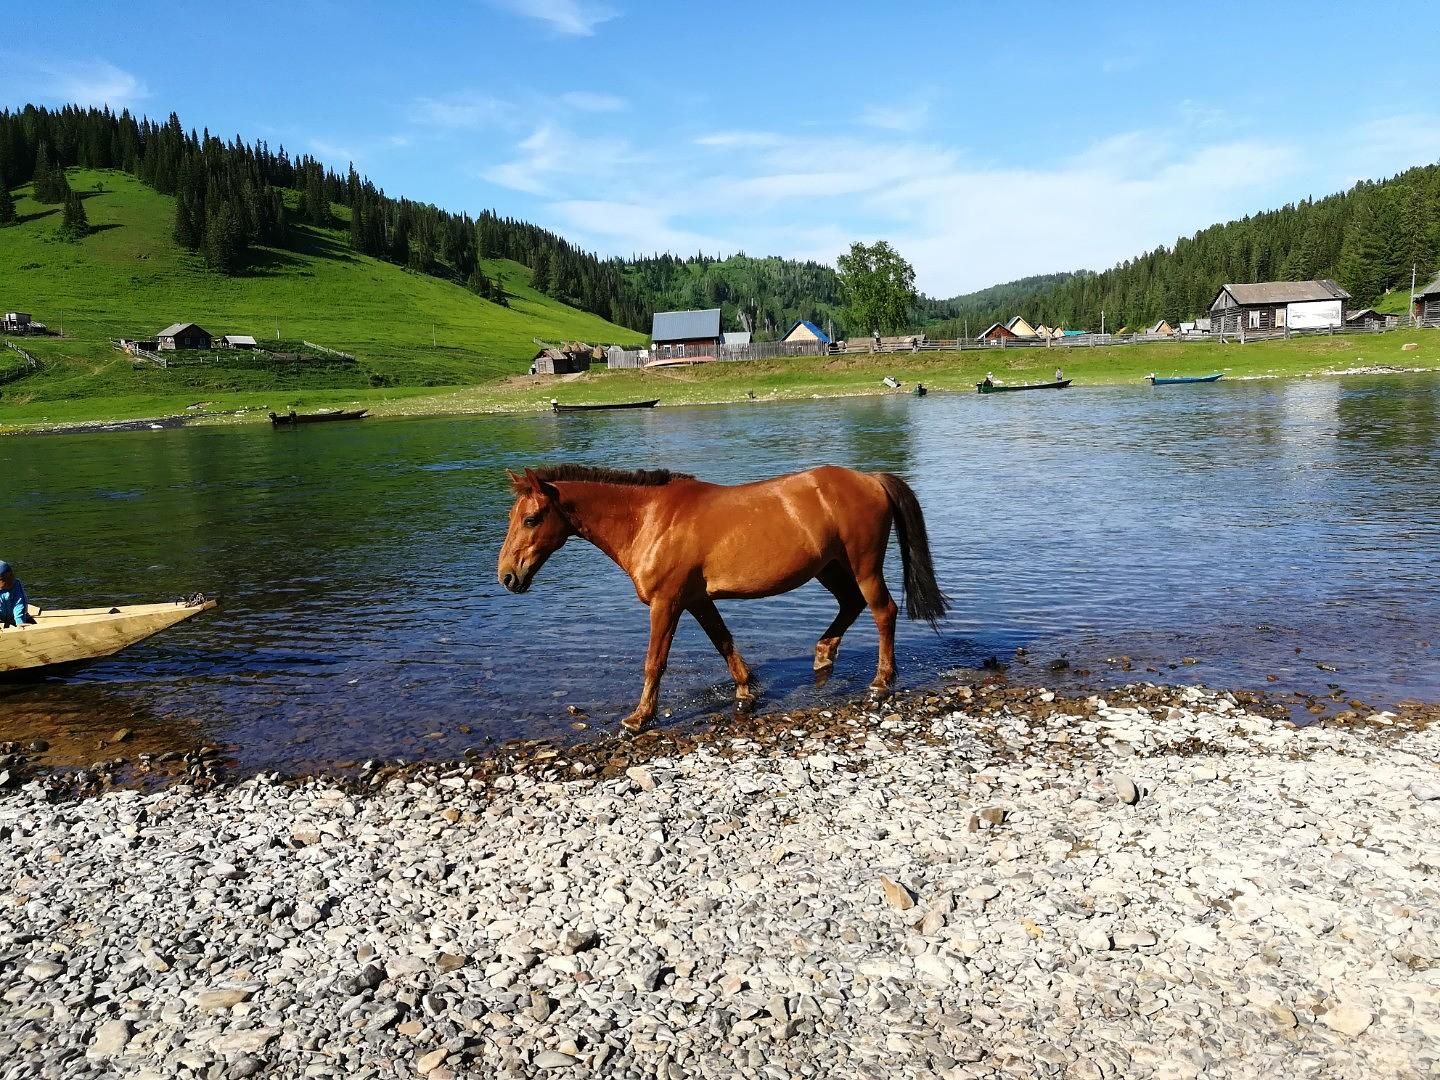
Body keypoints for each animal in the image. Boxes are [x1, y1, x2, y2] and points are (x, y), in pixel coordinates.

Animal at [495, 466, 944, 737]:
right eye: (512, 518)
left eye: (531, 519)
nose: (508, 576)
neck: (649, 520)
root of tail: (870, 478)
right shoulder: (697, 600)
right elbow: (723, 642)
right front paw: (746, 689)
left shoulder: (667, 602)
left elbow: (654, 661)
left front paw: (640, 718)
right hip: (830, 567)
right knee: (850, 605)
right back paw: (823, 654)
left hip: (863, 565)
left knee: (883, 611)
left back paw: (881, 681)